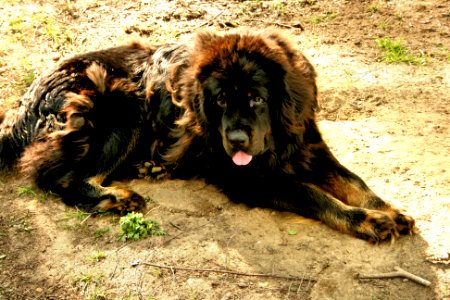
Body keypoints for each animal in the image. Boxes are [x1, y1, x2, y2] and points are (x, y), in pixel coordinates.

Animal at [0, 28, 414, 244]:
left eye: (257, 98)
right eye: (220, 100)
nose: (237, 139)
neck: (277, 138)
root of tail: (23, 106)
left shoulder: (308, 147)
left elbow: (354, 181)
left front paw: (390, 210)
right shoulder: (249, 178)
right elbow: (314, 195)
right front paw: (369, 221)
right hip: (125, 109)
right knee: (63, 180)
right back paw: (117, 197)